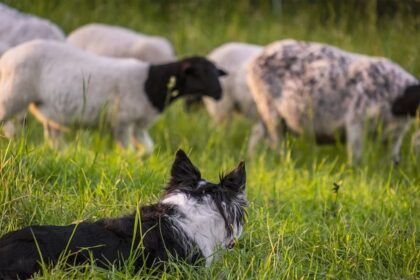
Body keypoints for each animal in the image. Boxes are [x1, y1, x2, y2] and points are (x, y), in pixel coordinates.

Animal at [0, 40, 226, 153]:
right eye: (200, 73)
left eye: (216, 72)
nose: (219, 94)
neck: (151, 84)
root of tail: (8, 56)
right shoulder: (122, 122)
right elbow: (127, 151)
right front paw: (128, 162)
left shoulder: (139, 125)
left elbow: (148, 149)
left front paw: (141, 159)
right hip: (12, 95)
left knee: (52, 137)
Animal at [248, 38, 418, 163]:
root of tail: (255, 59)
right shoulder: (357, 120)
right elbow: (356, 157)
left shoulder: (395, 136)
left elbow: (393, 159)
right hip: (269, 109)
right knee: (275, 141)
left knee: (257, 134)